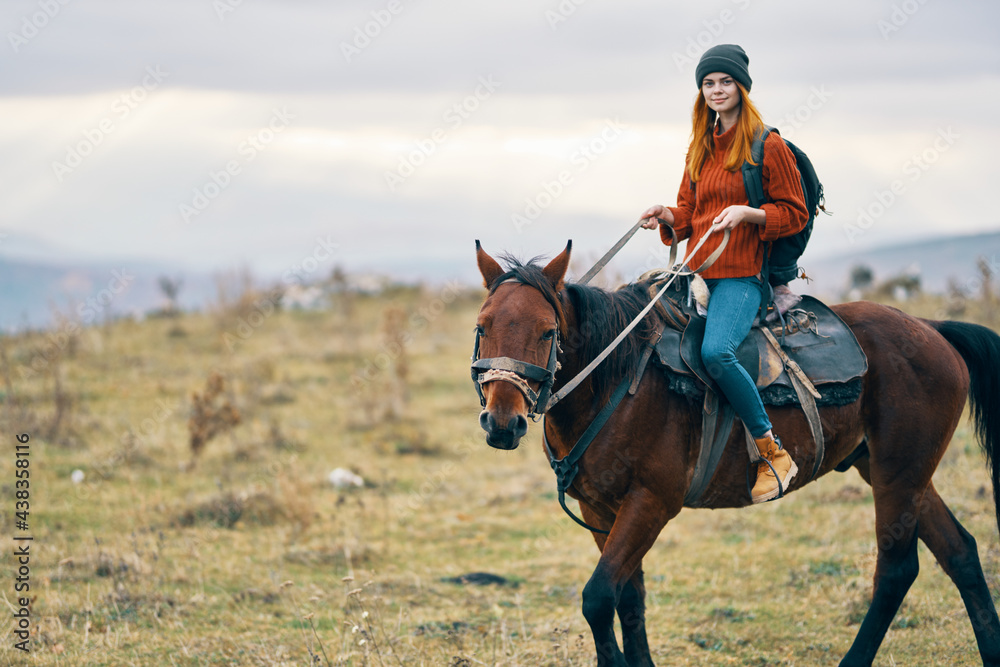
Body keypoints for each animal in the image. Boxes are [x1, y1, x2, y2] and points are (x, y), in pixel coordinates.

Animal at [472, 240, 1000, 667]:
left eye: (547, 331)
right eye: (482, 326)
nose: (503, 423)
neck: (616, 382)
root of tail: (932, 328)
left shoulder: (651, 503)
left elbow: (599, 598)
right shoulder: (601, 508)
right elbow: (629, 599)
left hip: (898, 475)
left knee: (895, 571)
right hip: (899, 473)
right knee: (960, 552)